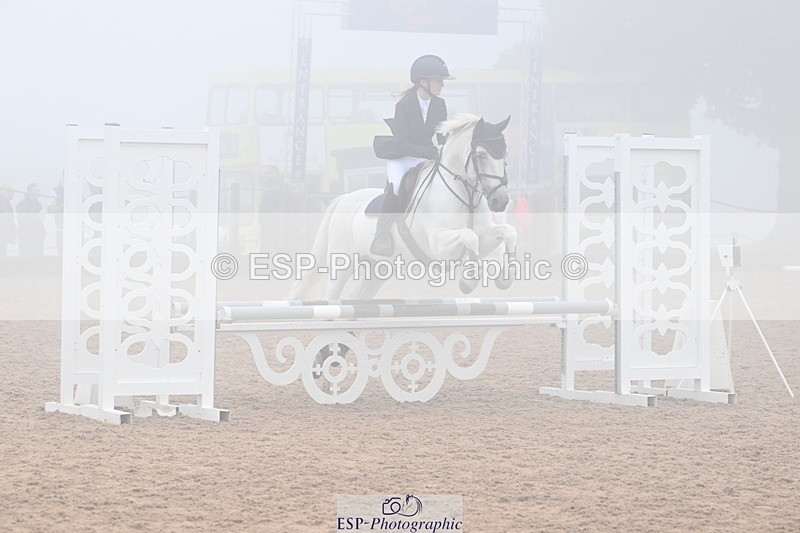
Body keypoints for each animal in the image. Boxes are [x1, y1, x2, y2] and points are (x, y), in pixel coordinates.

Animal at [290, 114, 518, 301]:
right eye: (481, 155)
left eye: (505, 154)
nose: (500, 201)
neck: (465, 194)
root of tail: (344, 198)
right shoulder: (439, 245)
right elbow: (469, 236)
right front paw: (468, 281)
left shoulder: (485, 235)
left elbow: (507, 232)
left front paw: (506, 278)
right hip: (342, 262)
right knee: (332, 294)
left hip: (378, 268)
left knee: (357, 295)